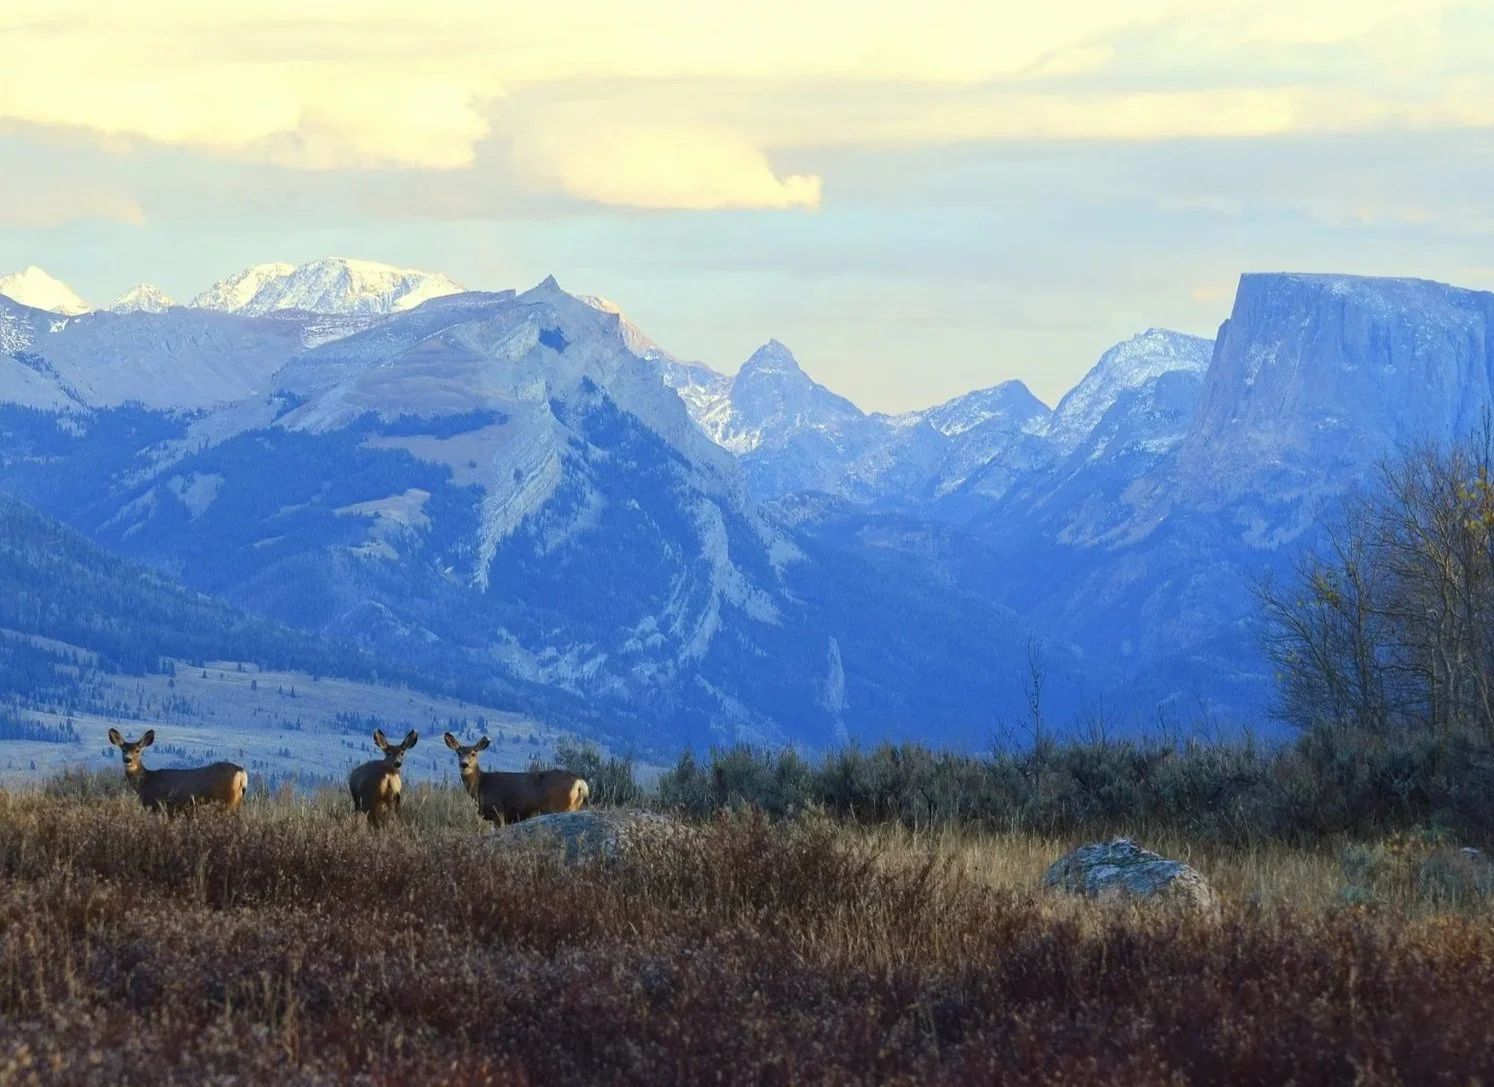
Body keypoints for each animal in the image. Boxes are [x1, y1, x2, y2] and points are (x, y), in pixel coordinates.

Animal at [107, 728, 248, 814]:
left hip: (227, 801)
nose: (127, 759)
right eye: (123, 749)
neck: (146, 782)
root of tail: (241, 773)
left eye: (137, 750)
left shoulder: (157, 806)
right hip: (236, 802)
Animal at [443, 733, 589, 825]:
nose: (464, 764)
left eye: (473, 753)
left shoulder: (498, 811)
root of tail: (580, 783)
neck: (481, 785)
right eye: (458, 753)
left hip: (558, 807)